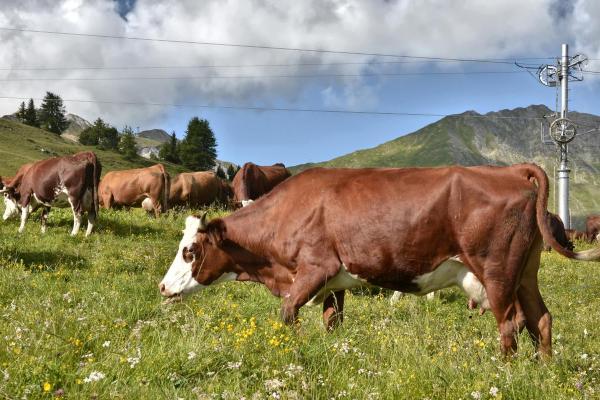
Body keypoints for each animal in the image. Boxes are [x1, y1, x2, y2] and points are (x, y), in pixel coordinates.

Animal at [158, 164, 600, 358]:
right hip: (524, 272)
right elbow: (332, 322)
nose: (162, 287)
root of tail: (509, 170)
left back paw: (506, 370)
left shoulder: (312, 270)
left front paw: (292, 348)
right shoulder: (333, 284)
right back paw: (541, 369)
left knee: (511, 323)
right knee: (540, 319)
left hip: (497, 272)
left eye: (189, 250)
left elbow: (287, 315)